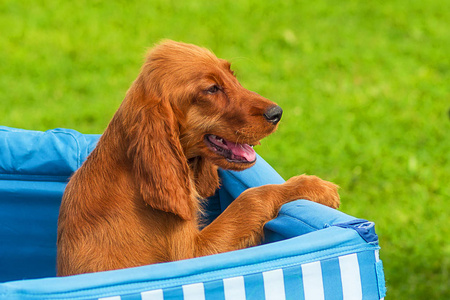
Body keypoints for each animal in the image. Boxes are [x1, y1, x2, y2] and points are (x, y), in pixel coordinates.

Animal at [56, 40, 340, 276]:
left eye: (232, 76)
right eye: (212, 89)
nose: (276, 113)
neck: (132, 174)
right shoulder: (193, 254)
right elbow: (251, 198)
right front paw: (313, 186)